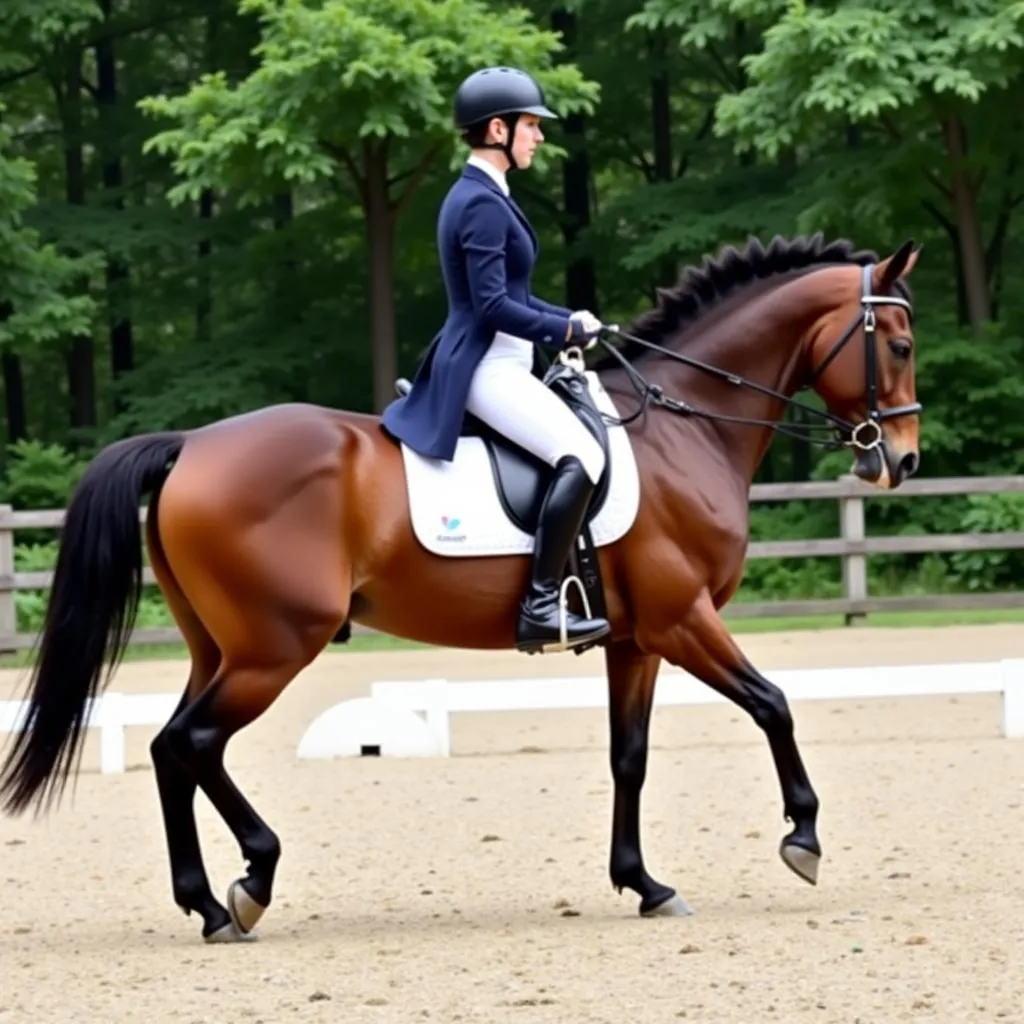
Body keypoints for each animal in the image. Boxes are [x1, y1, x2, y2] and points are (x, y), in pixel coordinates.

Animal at [0, 232, 921, 942]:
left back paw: (209, 904)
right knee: (194, 743)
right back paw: (251, 882)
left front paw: (645, 884)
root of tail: (190, 444)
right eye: (901, 346)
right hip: (275, 647)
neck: (681, 428)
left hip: (221, 646)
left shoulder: (634, 639)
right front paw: (803, 838)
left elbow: (629, 755)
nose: (902, 461)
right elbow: (774, 704)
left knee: (171, 748)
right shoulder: (681, 620)